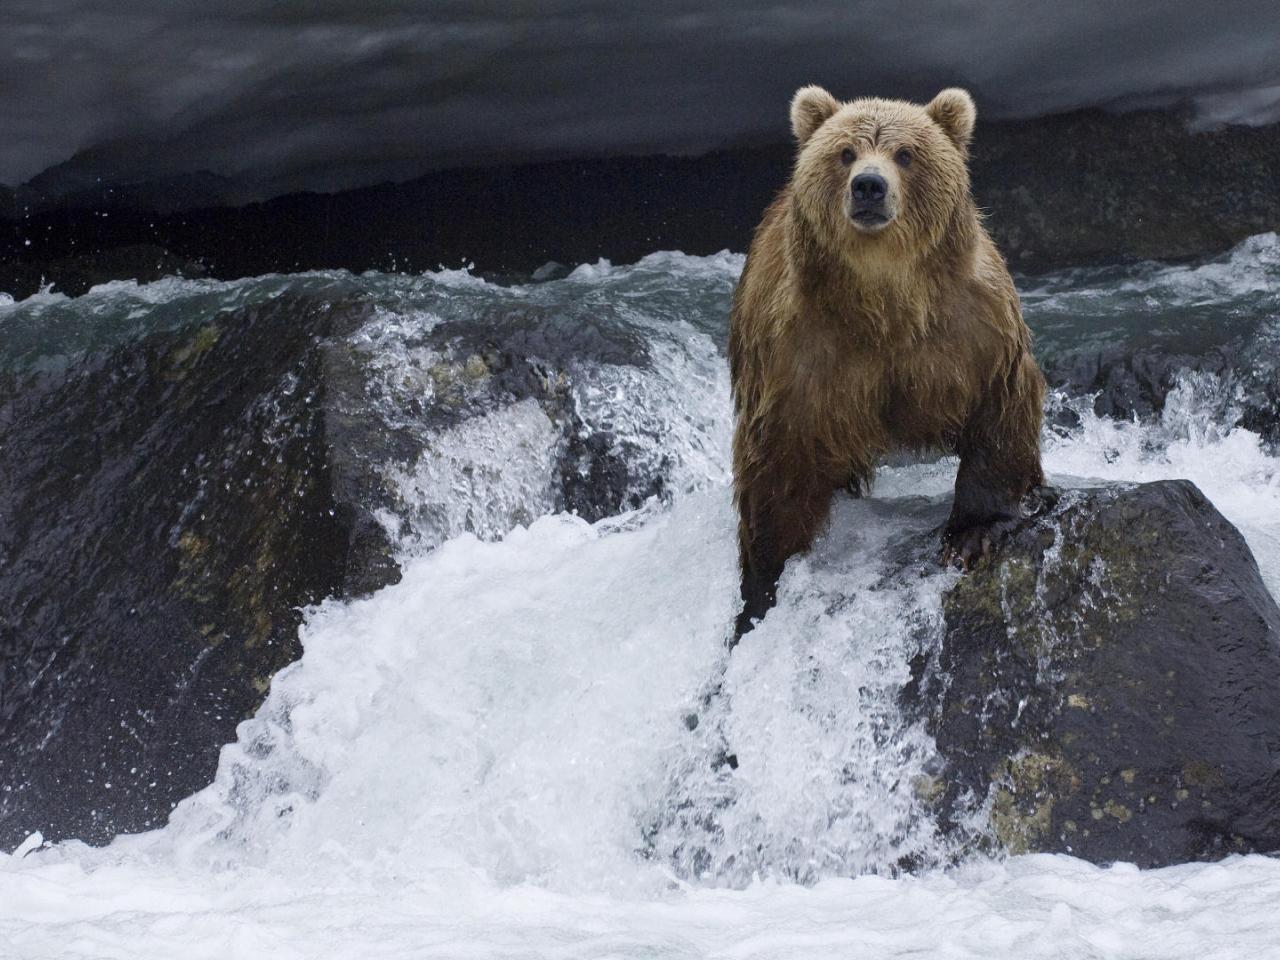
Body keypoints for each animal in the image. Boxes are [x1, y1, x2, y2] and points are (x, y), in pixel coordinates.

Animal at [732, 86, 1039, 642]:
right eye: (846, 152)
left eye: (906, 153)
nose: (869, 187)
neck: (884, 301)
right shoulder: (796, 352)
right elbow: (777, 464)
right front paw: (763, 584)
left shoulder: (972, 326)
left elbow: (999, 408)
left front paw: (973, 533)